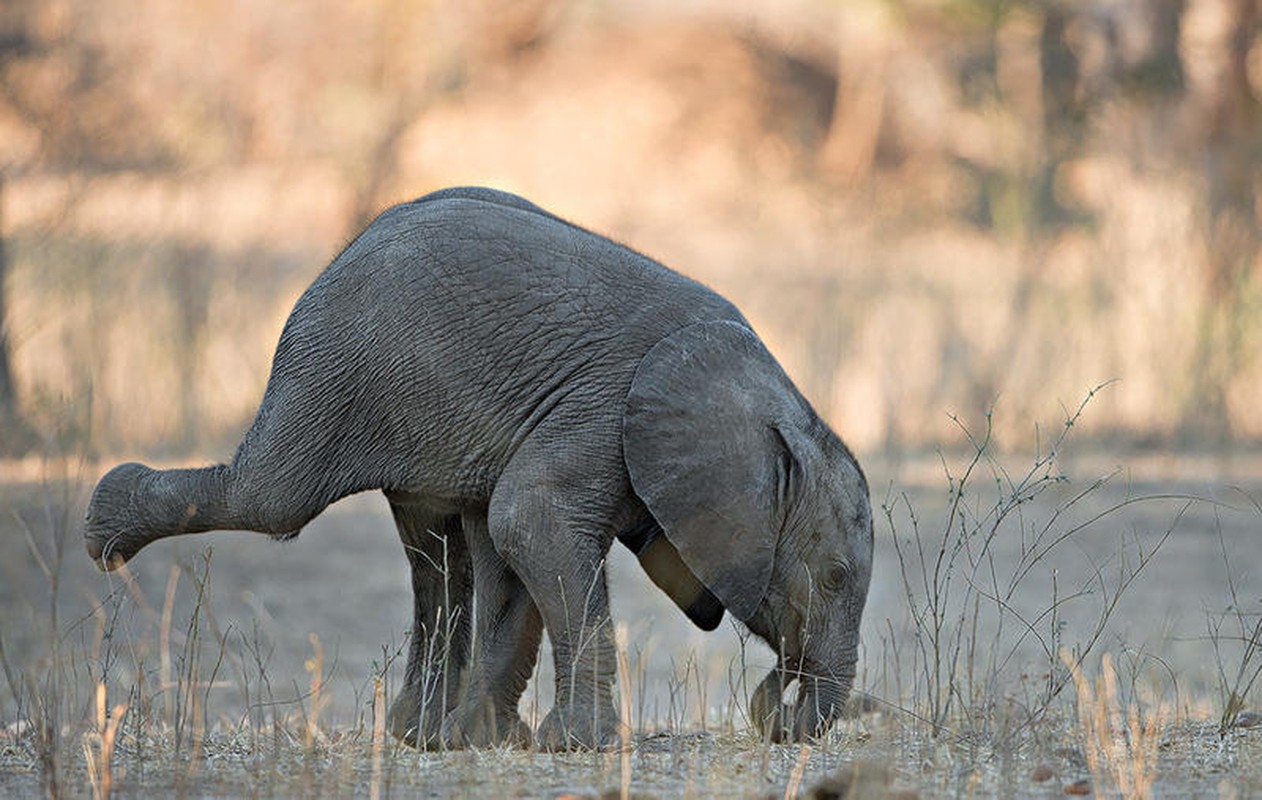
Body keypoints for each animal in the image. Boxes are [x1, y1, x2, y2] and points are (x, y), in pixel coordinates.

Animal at [83, 185, 873, 747]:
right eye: (834, 576)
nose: (782, 715)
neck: (773, 397)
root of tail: (341, 253)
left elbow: (516, 542)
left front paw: (498, 741)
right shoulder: (600, 409)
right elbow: (531, 520)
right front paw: (577, 747)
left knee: (444, 548)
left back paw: (424, 737)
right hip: (337, 367)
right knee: (276, 497)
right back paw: (102, 534)